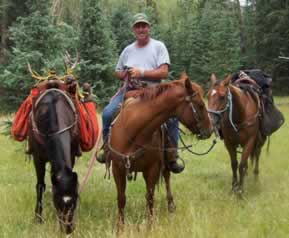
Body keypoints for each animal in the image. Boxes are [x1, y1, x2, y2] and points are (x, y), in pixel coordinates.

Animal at [28, 84, 79, 234]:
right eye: (57, 202)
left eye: (75, 201)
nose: (68, 229)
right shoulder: (38, 158)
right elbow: (40, 186)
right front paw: (38, 218)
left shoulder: (71, 155)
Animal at [108, 73, 212, 229]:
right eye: (200, 105)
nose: (210, 130)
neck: (133, 130)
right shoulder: (117, 168)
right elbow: (121, 198)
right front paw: (120, 226)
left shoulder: (152, 169)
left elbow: (150, 197)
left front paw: (150, 224)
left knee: (167, 178)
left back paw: (170, 205)